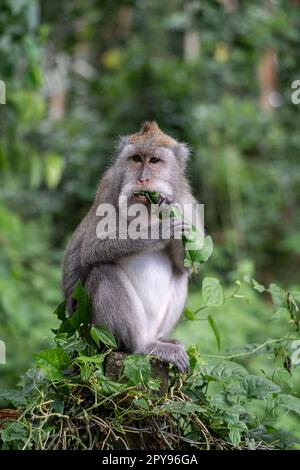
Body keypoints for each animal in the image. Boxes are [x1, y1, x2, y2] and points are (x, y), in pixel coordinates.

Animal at [62, 121, 202, 370]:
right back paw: (143, 347)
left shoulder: (186, 200)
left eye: (154, 161)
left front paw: (169, 210)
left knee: (179, 275)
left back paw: (162, 341)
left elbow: (187, 265)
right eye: (136, 158)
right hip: (95, 333)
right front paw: (159, 230)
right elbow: (91, 249)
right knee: (104, 271)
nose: (143, 179)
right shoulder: (108, 189)